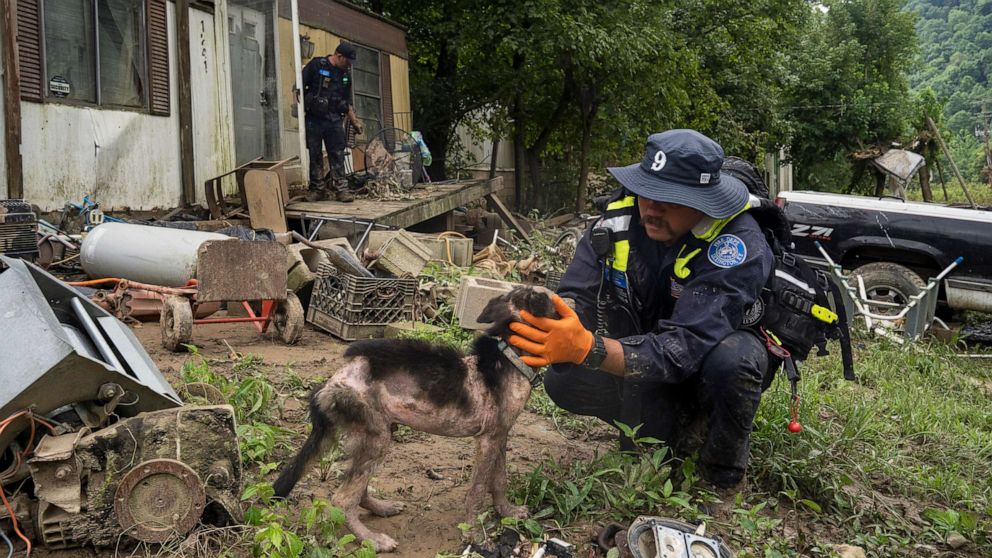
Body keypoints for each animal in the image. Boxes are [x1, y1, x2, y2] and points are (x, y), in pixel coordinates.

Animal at [274, 288, 560, 556]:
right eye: (547, 300)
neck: (510, 358)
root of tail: (331, 383)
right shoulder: (488, 440)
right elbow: (478, 490)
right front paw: (475, 535)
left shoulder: (500, 434)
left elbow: (499, 480)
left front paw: (508, 512)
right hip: (376, 437)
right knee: (342, 499)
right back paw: (372, 540)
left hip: (378, 433)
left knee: (358, 487)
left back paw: (381, 508)